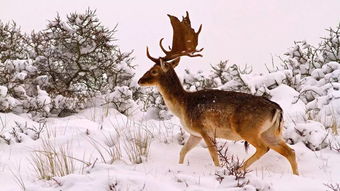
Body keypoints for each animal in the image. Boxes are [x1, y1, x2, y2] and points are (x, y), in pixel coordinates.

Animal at [137, 11, 298, 175]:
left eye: (154, 70)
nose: (140, 80)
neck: (182, 106)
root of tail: (277, 109)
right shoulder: (194, 134)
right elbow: (182, 152)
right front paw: (180, 166)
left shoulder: (203, 129)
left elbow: (214, 155)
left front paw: (218, 170)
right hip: (270, 132)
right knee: (290, 151)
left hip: (248, 129)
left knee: (264, 148)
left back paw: (239, 169)